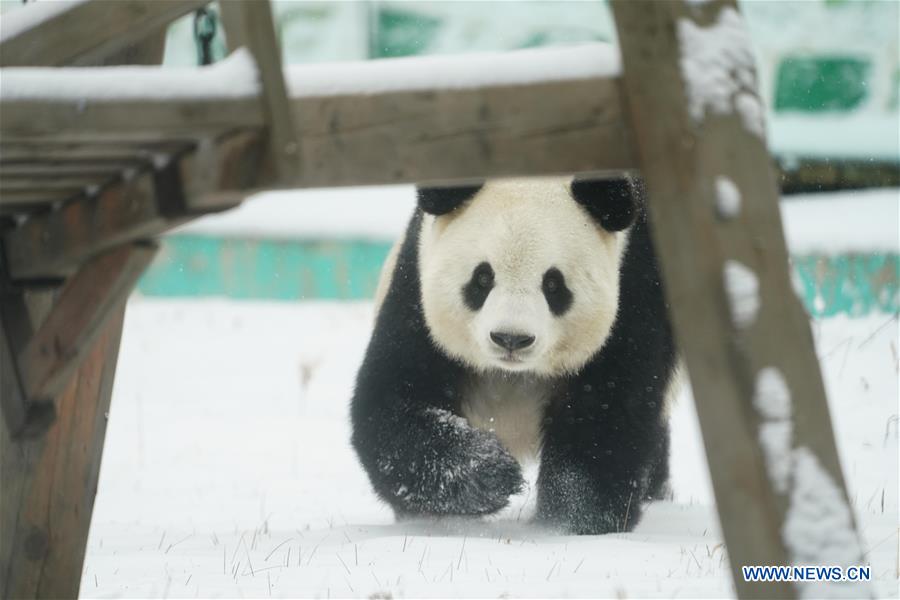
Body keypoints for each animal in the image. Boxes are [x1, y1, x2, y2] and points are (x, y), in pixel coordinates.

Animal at [351, 176, 677, 535]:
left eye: (553, 284)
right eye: (482, 277)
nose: (511, 339)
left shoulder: (635, 290)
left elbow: (606, 413)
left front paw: (572, 520)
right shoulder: (415, 293)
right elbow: (393, 403)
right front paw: (490, 474)